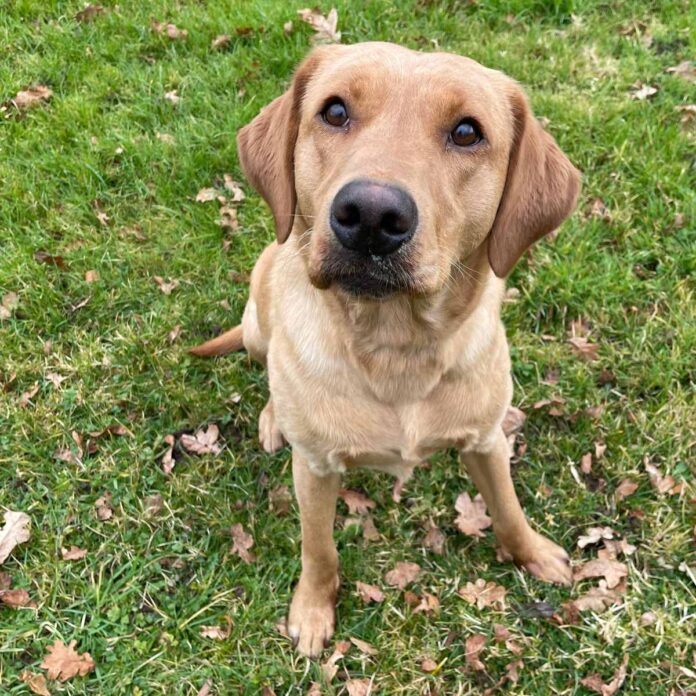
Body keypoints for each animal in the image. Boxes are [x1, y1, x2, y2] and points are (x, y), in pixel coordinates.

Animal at [192, 40, 580, 656]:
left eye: (467, 132)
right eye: (334, 111)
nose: (371, 215)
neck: (397, 348)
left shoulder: (487, 440)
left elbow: (508, 507)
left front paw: (533, 554)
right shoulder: (315, 467)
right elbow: (318, 548)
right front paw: (313, 609)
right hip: (257, 318)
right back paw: (274, 416)